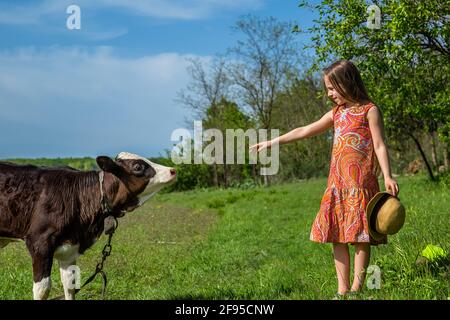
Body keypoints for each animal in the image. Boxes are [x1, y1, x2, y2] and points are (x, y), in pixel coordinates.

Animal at [0, 152, 176, 300]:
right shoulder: (40, 242)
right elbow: (42, 289)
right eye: (138, 166)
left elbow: (70, 285)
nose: (173, 170)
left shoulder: (69, 248)